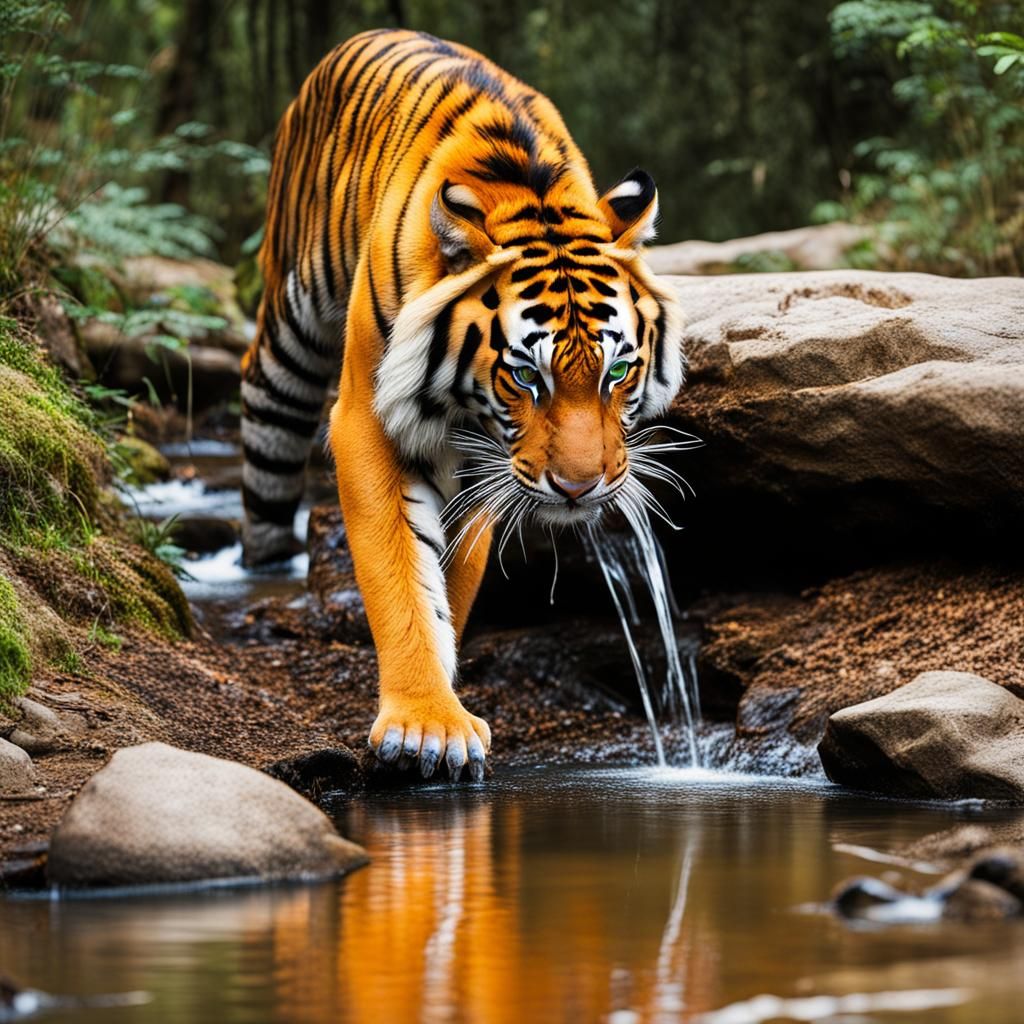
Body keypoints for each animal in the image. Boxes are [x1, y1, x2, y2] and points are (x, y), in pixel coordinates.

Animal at [241, 28, 685, 782]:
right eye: (526, 377)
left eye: (619, 371)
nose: (581, 488)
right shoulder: (369, 418)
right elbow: (400, 575)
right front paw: (426, 725)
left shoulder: (489, 464)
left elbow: (453, 578)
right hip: (289, 327)